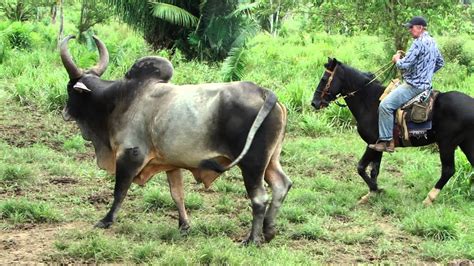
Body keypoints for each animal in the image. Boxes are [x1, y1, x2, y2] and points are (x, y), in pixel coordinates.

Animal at [59, 35, 292, 245]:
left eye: (70, 89)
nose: (65, 113)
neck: (119, 100)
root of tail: (264, 93)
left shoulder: (130, 155)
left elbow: (120, 191)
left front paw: (106, 221)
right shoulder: (171, 164)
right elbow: (177, 194)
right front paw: (184, 225)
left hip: (251, 163)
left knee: (259, 198)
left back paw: (252, 239)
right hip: (270, 159)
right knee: (281, 184)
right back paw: (268, 232)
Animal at [312, 57, 474, 205]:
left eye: (324, 78)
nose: (314, 103)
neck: (369, 101)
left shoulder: (372, 143)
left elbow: (360, 167)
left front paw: (377, 189)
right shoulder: (378, 146)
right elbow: (374, 170)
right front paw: (371, 194)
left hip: (447, 144)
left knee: (448, 170)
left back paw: (429, 198)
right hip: (466, 144)